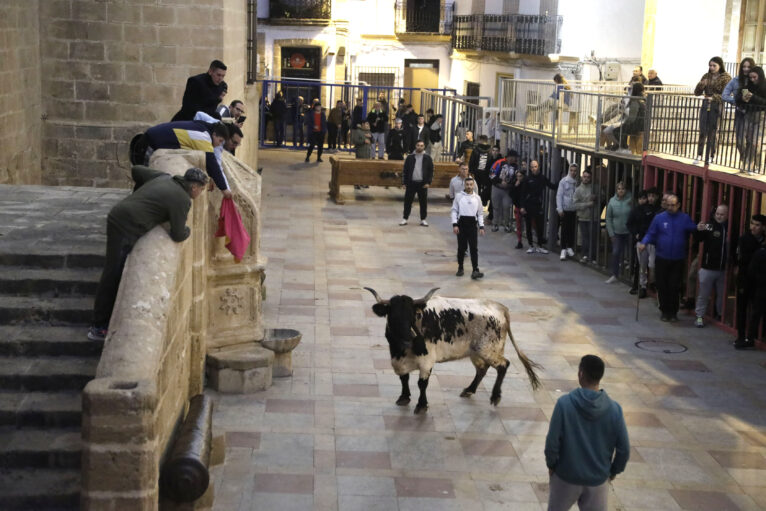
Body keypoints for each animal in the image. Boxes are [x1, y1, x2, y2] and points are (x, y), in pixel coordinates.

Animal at [368, 288, 544, 416]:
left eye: (412, 316)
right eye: (393, 316)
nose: (408, 338)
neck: (400, 351)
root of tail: (498, 307)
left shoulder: (426, 361)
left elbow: (422, 384)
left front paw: (421, 405)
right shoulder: (398, 360)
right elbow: (403, 378)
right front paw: (404, 397)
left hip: (488, 350)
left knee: (503, 365)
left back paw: (495, 396)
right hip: (476, 352)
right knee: (482, 369)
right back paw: (469, 390)